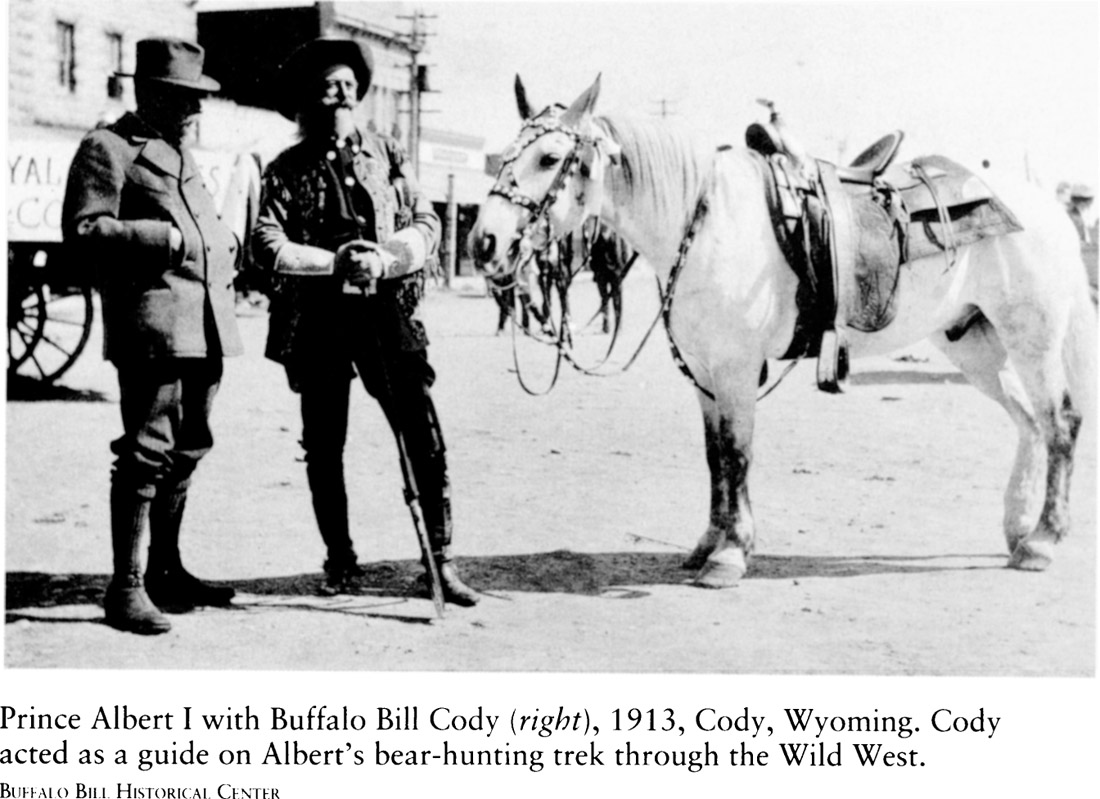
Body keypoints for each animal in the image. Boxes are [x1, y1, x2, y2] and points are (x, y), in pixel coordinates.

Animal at [468, 76, 1095, 589]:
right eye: (505, 156)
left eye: (550, 157)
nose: (483, 244)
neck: (705, 221)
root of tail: (1045, 207)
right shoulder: (704, 375)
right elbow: (715, 457)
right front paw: (708, 544)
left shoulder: (736, 370)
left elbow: (738, 453)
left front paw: (730, 556)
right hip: (974, 344)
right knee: (1029, 423)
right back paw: (1017, 528)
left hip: (1031, 340)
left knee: (1060, 423)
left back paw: (1041, 542)